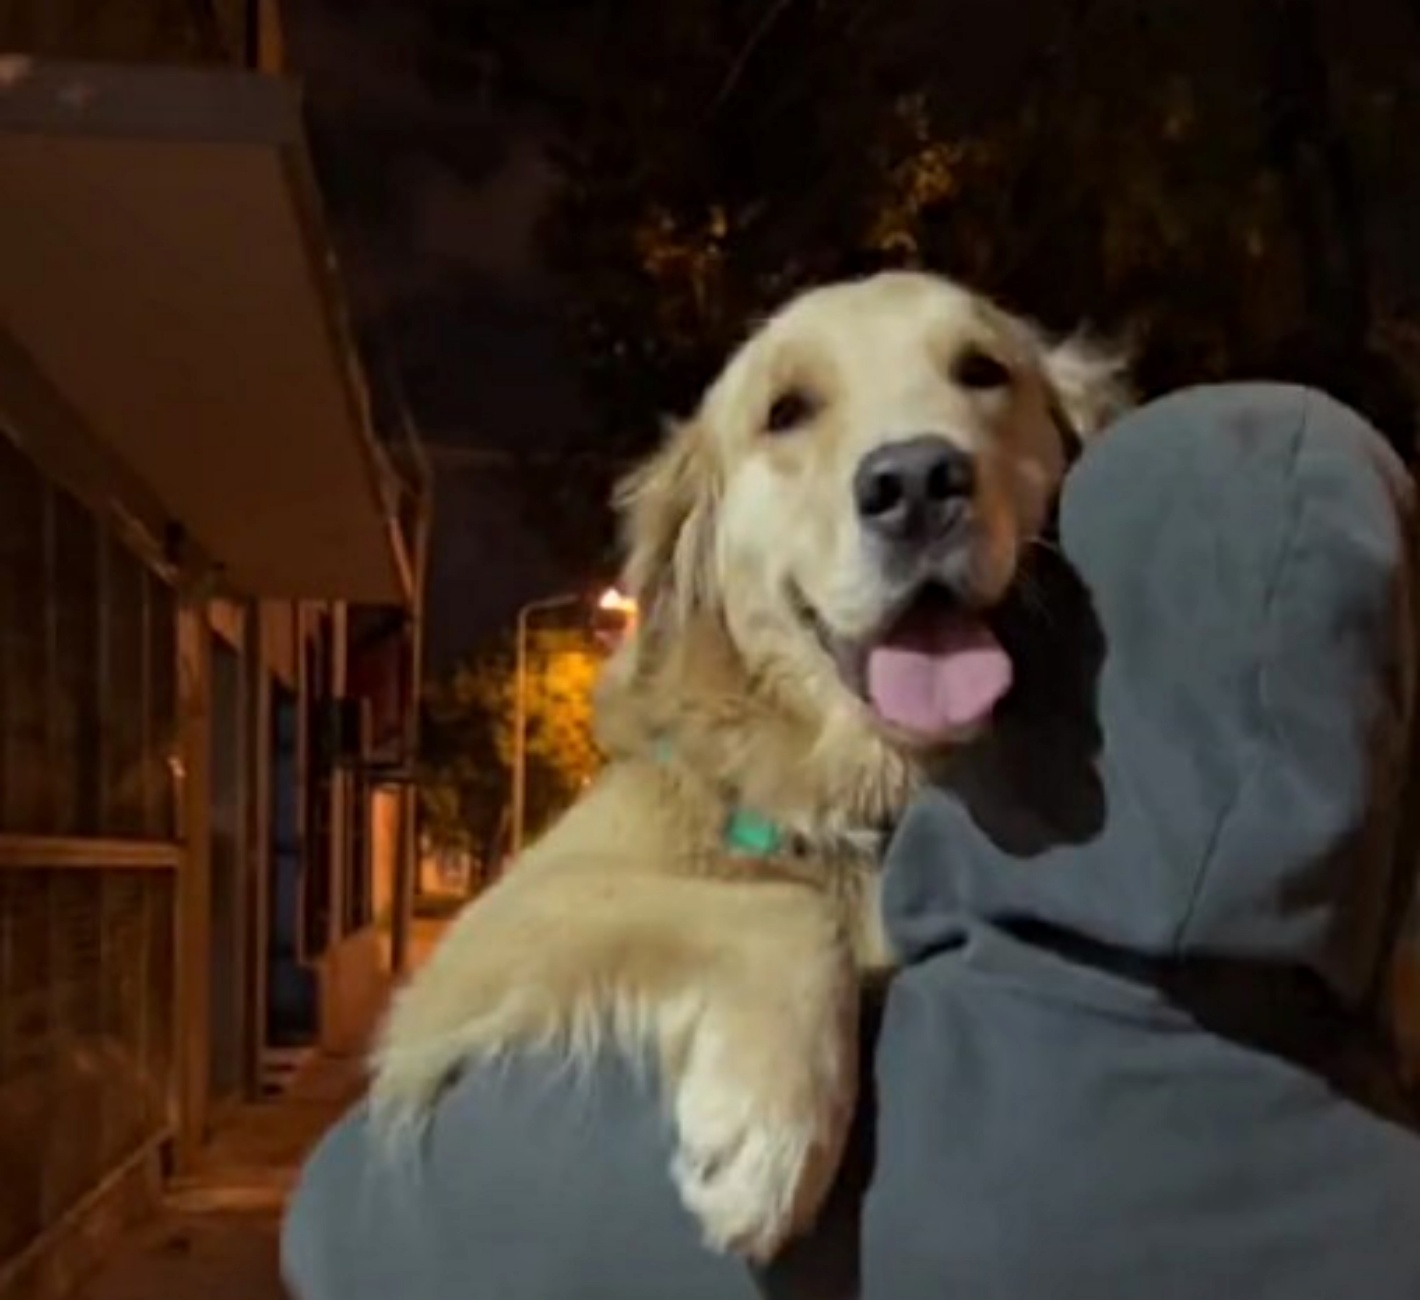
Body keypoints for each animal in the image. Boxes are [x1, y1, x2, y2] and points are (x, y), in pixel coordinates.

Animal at [369, 271, 1130, 1261]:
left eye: (982, 371)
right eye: (787, 410)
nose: (917, 483)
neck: (855, 796)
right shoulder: (473, 949)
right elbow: (780, 906)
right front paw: (768, 1139)